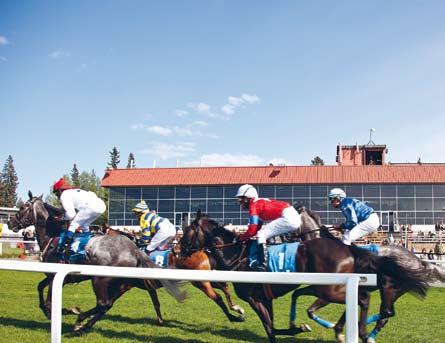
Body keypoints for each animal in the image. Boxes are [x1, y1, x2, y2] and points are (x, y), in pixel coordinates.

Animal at [180, 212, 430, 343]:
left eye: (186, 233)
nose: (179, 250)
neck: (237, 258)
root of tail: (350, 249)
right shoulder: (265, 298)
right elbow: (273, 327)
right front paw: (299, 327)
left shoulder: (254, 299)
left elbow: (270, 328)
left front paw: (303, 327)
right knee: (381, 310)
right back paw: (357, 331)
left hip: (334, 289)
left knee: (368, 302)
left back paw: (358, 331)